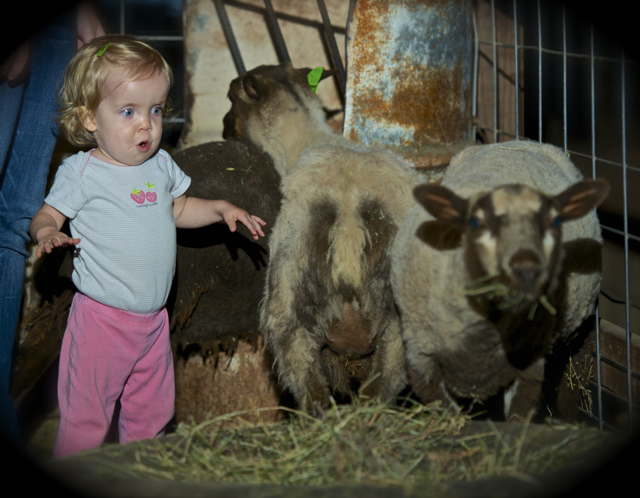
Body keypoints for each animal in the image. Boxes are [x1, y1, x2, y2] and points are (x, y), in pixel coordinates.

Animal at [222, 63, 428, 412]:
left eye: (232, 96)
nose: (224, 129)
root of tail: (349, 220)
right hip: (399, 322)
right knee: (378, 389)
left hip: (288, 307)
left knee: (314, 394)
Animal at [390, 140, 608, 420]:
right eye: (476, 222)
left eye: (555, 222)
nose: (528, 270)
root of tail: (519, 142)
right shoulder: (420, 360)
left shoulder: (529, 361)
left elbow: (517, 417)